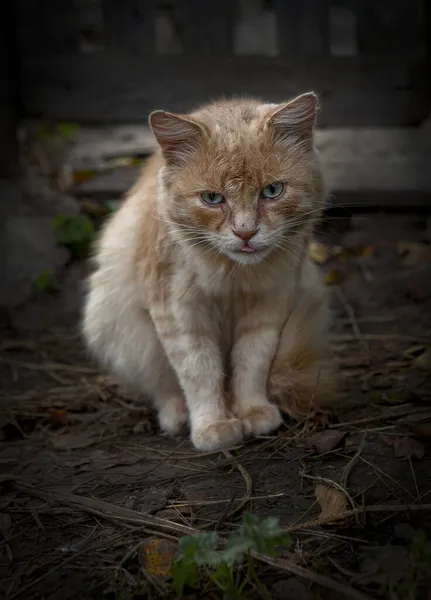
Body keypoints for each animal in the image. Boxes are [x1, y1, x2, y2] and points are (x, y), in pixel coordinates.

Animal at [82, 92, 336, 450]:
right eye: (213, 198)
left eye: (272, 191)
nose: (246, 233)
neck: (234, 274)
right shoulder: (180, 314)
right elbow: (200, 373)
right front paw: (213, 426)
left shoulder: (269, 307)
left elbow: (251, 364)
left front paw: (252, 412)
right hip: (119, 327)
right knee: (165, 388)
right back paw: (178, 415)